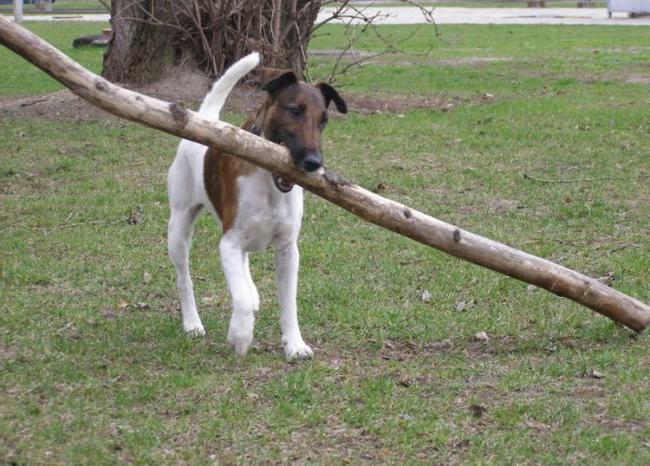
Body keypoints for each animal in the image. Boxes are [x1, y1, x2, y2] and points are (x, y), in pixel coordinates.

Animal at [168, 53, 350, 360]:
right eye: (294, 110)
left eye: (324, 120)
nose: (314, 163)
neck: (269, 181)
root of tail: (208, 119)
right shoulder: (228, 243)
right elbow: (238, 297)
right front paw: (240, 335)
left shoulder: (288, 250)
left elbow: (289, 303)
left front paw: (294, 344)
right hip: (178, 227)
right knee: (184, 278)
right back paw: (192, 323)